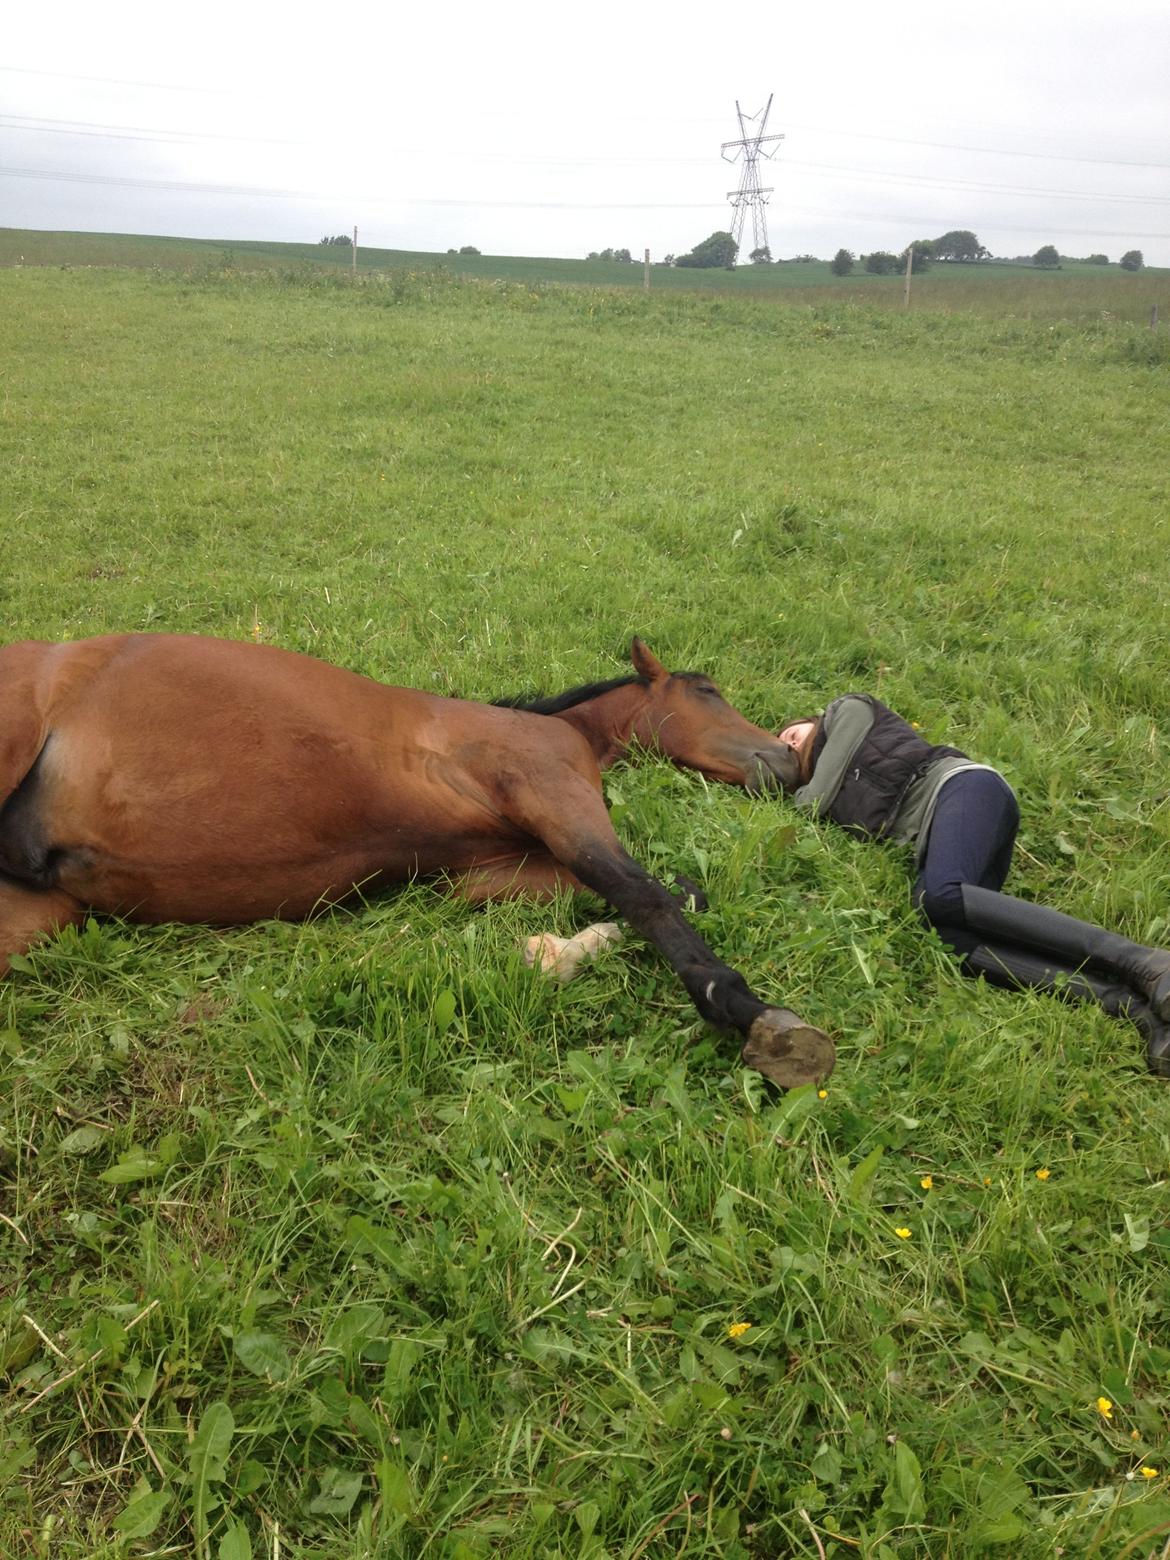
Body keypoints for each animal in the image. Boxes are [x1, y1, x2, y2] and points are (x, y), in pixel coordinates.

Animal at [0, 633, 836, 1085]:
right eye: (707, 691)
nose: (790, 760)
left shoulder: (486, 874)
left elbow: (654, 893)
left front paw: (558, 952)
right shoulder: (548, 786)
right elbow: (645, 892)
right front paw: (752, 1013)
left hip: (38, 914)